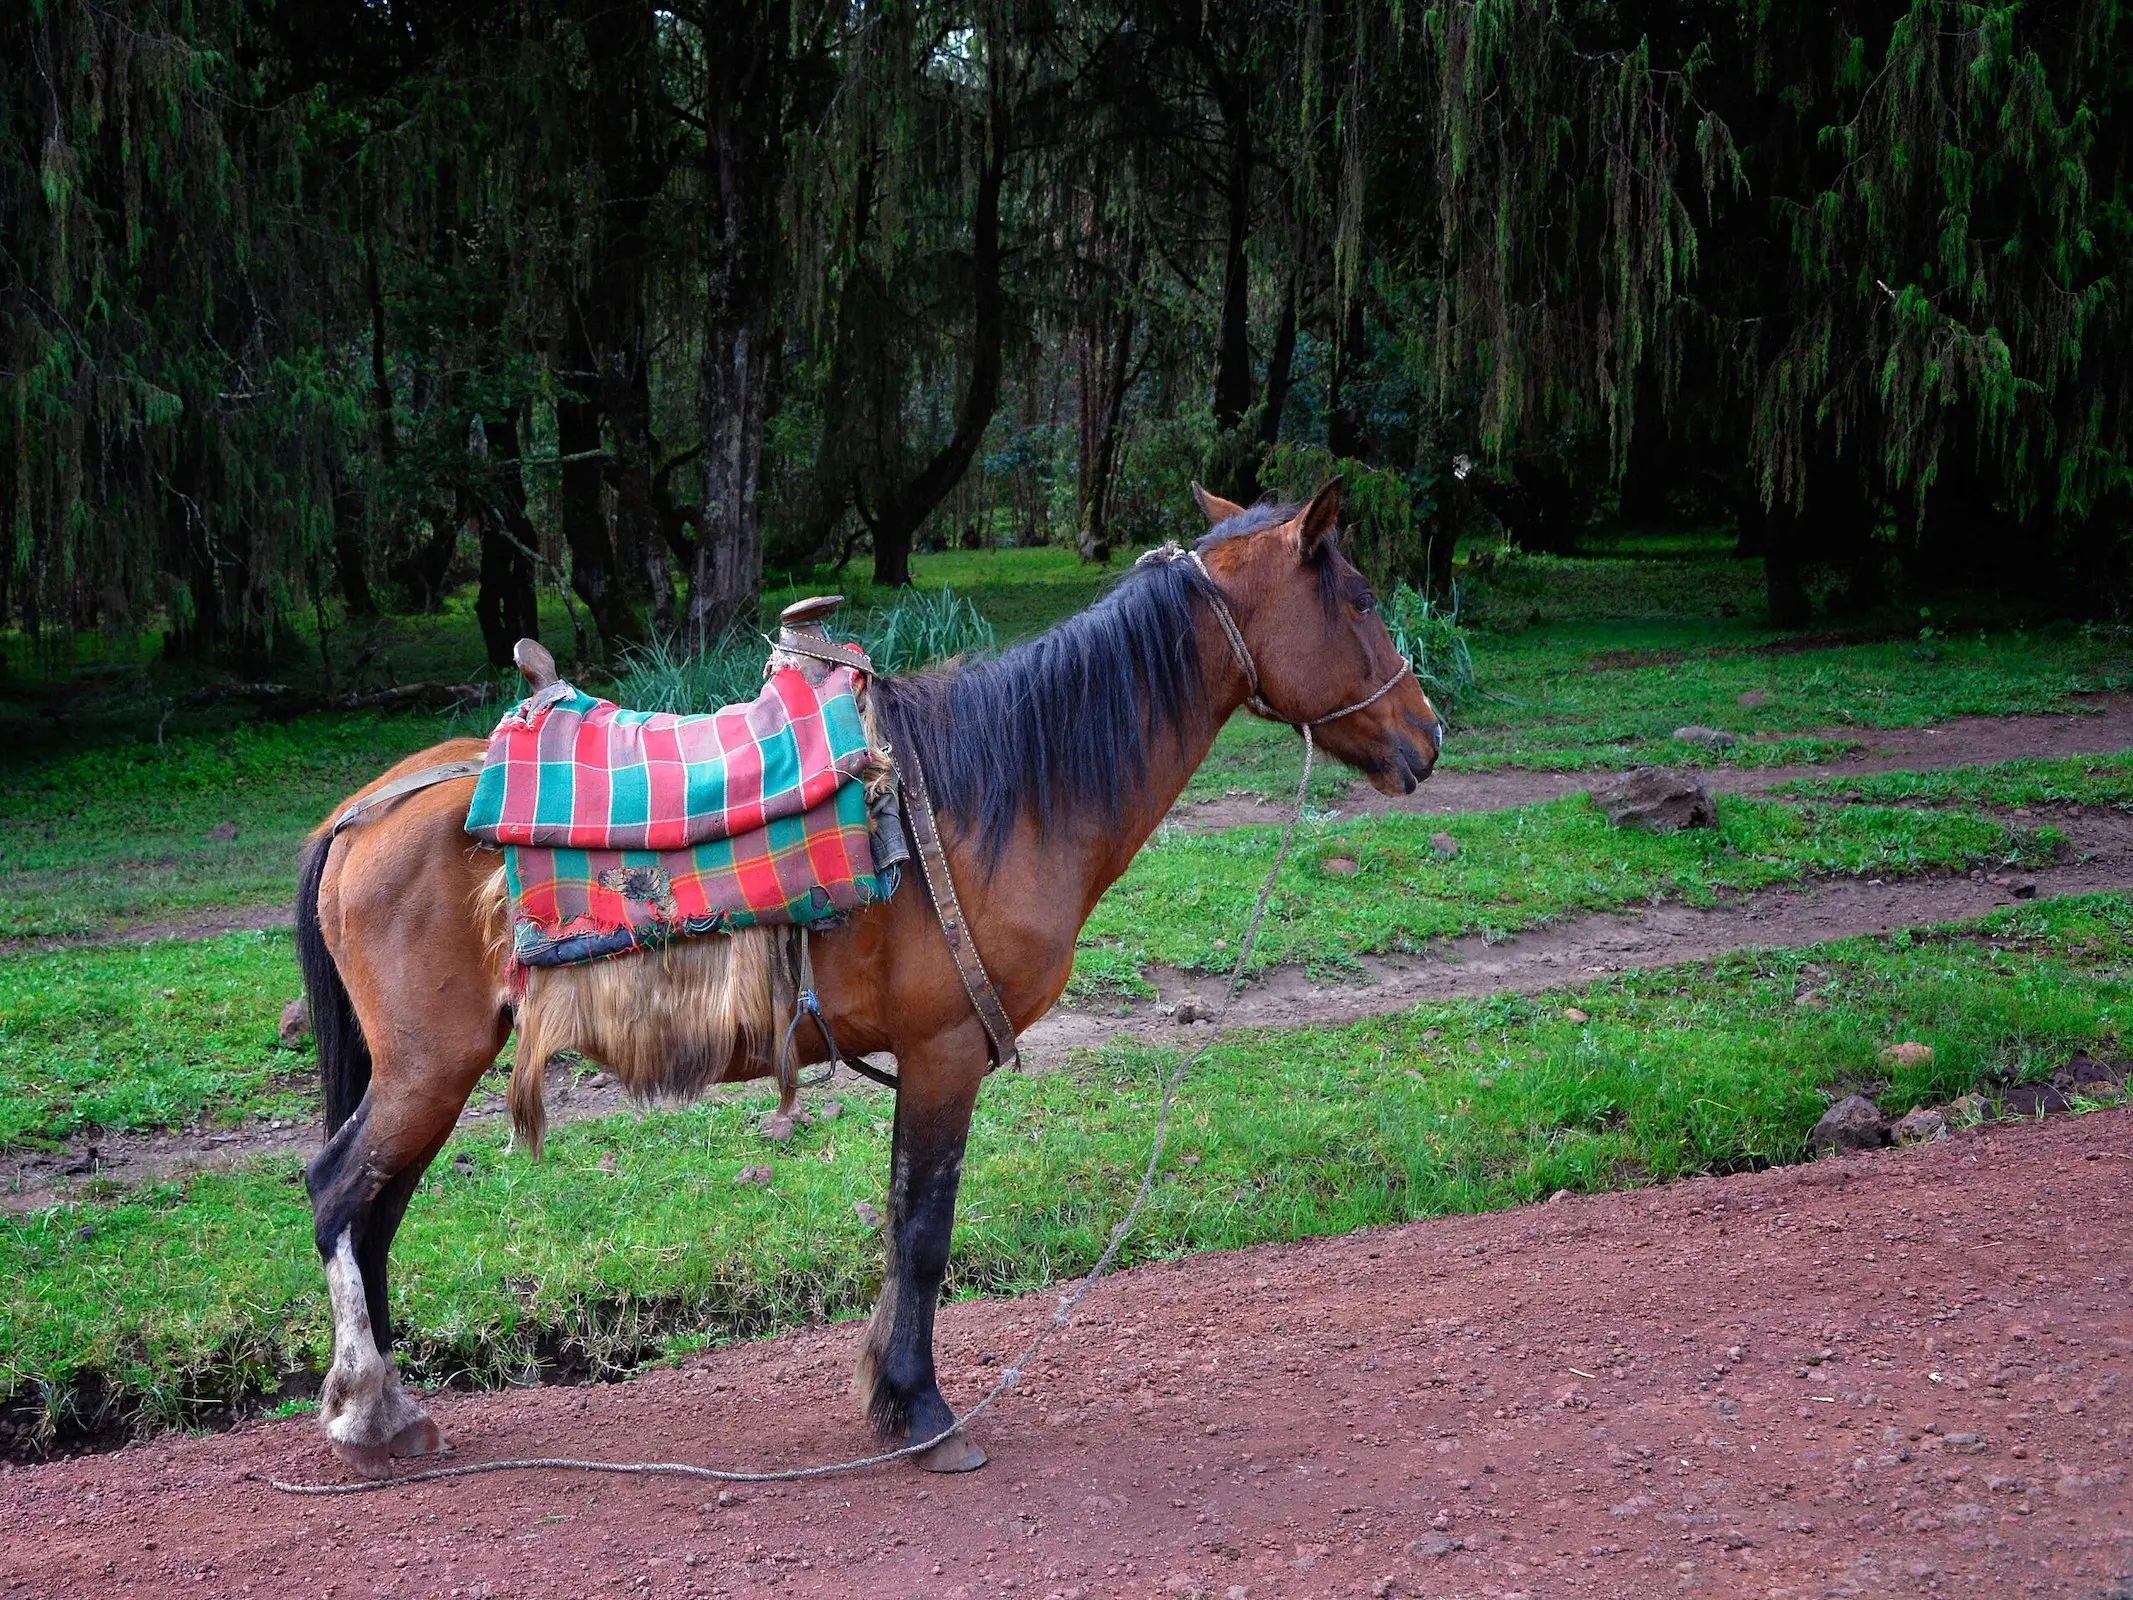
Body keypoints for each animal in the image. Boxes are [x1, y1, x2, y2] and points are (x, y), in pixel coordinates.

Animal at [292, 482, 1441, 1484]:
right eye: (1359, 598)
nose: (1425, 736)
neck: (994, 793)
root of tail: (365, 811)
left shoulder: (930, 1058)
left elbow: (898, 1225)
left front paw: (888, 1398)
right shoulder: (945, 1053)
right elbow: (924, 1234)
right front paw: (925, 1416)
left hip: (430, 1075)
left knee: (374, 1214)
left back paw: (394, 1409)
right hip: (430, 1068)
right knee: (339, 1195)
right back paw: (367, 1411)